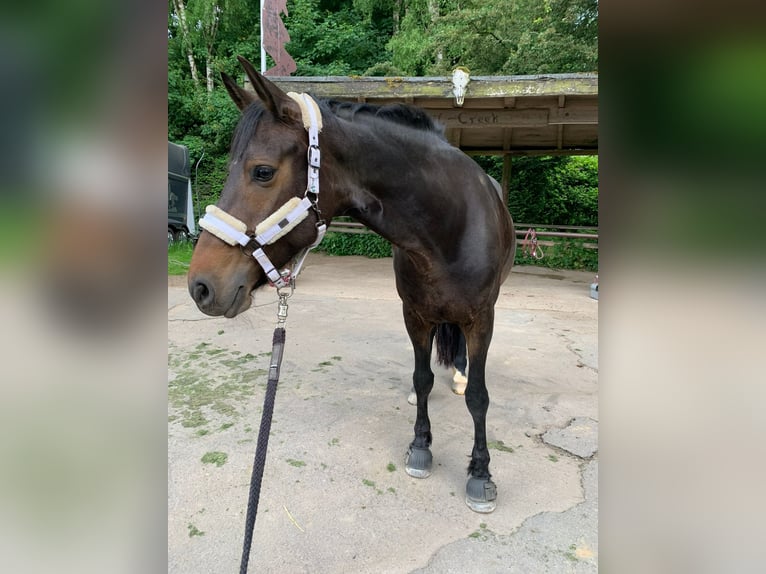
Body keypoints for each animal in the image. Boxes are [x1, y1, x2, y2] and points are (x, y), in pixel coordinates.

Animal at [188, 56, 516, 513]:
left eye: (262, 171)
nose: (200, 286)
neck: (448, 227)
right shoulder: (414, 314)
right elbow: (421, 378)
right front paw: (421, 446)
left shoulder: (482, 319)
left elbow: (479, 399)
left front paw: (481, 473)